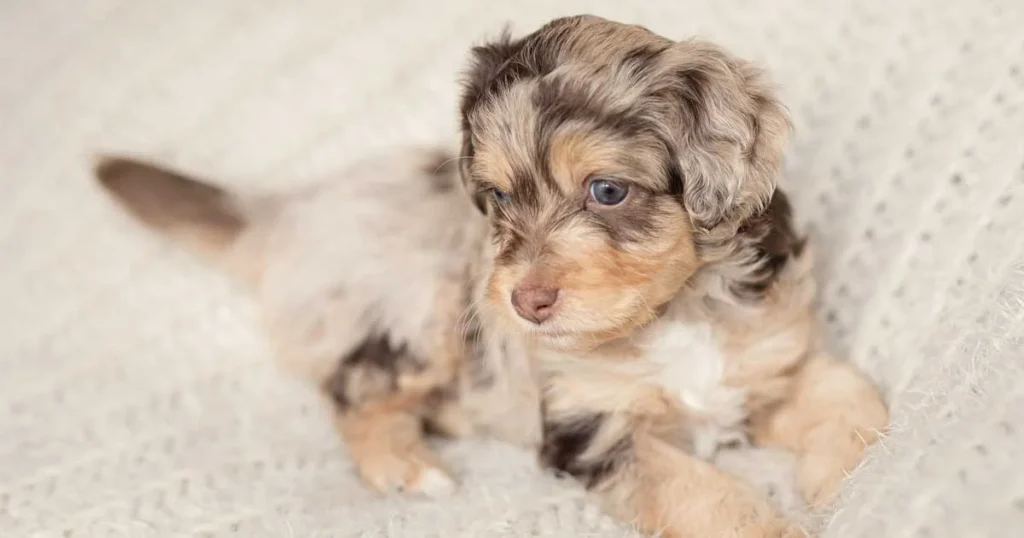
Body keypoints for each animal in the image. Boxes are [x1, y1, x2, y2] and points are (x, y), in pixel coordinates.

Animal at [96, 14, 888, 536]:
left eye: (607, 191)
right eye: (499, 197)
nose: (525, 302)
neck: (674, 310)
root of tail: (289, 210)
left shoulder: (769, 357)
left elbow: (854, 399)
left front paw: (847, 475)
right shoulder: (594, 428)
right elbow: (705, 495)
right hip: (421, 313)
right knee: (353, 388)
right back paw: (405, 464)